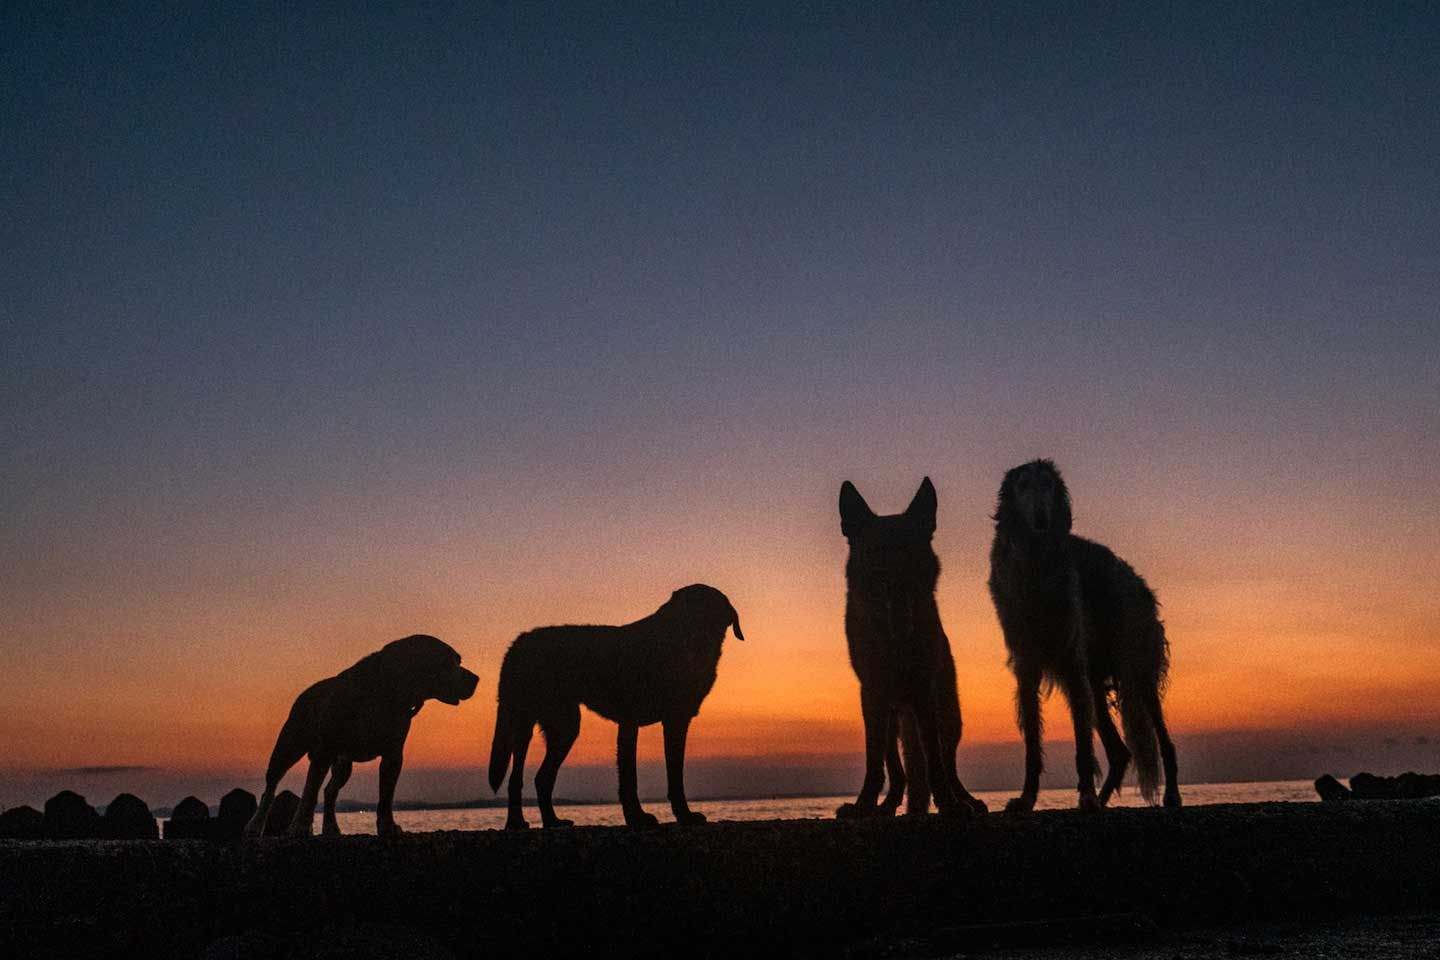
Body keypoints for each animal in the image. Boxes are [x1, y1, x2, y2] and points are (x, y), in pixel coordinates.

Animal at [243, 639, 478, 840]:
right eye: (448, 662)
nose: (476, 679)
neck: (384, 693)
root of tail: (307, 692)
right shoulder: (324, 751)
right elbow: (309, 793)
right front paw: (300, 827)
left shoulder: (393, 755)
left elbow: (386, 796)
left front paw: (387, 826)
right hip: (288, 747)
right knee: (271, 788)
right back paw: (255, 825)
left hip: (343, 765)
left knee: (330, 792)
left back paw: (331, 828)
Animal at [492, 581, 748, 829]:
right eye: (680, 613)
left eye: (704, 612)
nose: (690, 642)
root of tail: (519, 642)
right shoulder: (632, 721)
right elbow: (630, 776)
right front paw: (639, 818)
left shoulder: (676, 721)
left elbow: (673, 775)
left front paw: (677, 815)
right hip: (529, 722)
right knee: (517, 777)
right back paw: (515, 822)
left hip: (563, 725)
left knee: (543, 777)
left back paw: (552, 821)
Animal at [835, 480, 990, 817]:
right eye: (876, 552)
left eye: (909, 550)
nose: (896, 584)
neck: (895, 638)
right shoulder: (873, 695)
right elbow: (874, 762)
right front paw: (863, 805)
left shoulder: (923, 691)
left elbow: (935, 760)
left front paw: (949, 803)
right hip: (892, 717)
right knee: (896, 770)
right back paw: (886, 804)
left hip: (949, 716)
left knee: (947, 763)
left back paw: (966, 799)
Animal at [990, 457, 1180, 811]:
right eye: (1023, 485)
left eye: (1048, 485)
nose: (1041, 519)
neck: (1037, 565)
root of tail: (1140, 585)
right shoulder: (1027, 664)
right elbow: (1032, 746)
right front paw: (1027, 798)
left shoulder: (1071, 662)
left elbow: (1082, 747)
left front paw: (1086, 794)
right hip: (1096, 681)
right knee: (1120, 752)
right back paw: (1102, 800)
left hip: (1135, 669)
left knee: (1163, 741)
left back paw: (1170, 794)